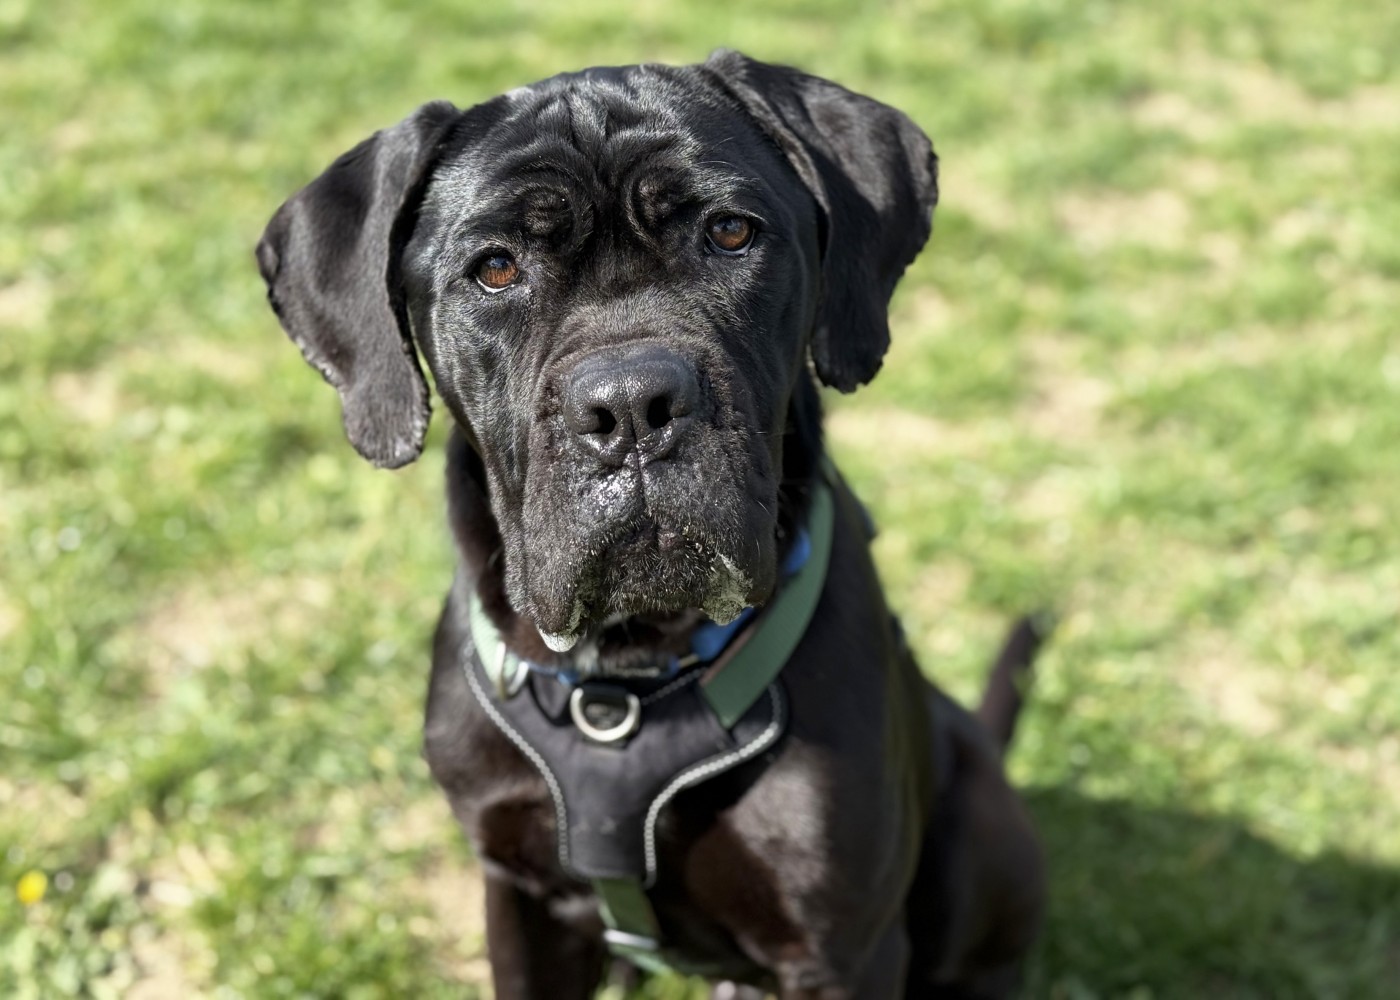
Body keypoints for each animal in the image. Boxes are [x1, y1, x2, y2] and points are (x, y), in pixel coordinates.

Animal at [257, 50, 1045, 999]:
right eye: (495, 269)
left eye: (730, 233)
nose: (632, 405)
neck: (626, 688)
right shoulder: (521, 894)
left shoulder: (842, 948)